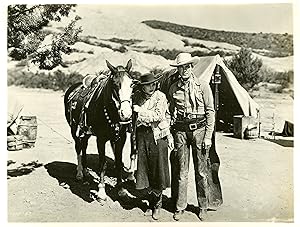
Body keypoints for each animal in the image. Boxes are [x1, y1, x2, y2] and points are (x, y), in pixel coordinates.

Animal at [64, 59, 135, 202]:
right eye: (115, 85)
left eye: (132, 84)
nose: (126, 114)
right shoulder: (101, 139)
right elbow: (103, 164)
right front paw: (101, 191)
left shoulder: (121, 139)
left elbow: (118, 162)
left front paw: (121, 189)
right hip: (74, 130)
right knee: (78, 148)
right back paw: (79, 173)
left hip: (85, 132)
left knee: (84, 146)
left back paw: (86, 171)